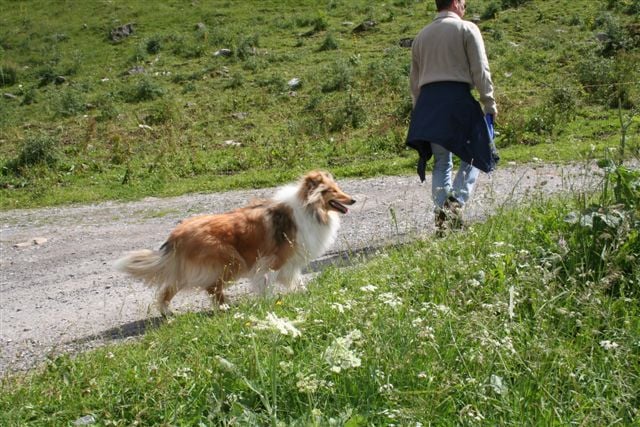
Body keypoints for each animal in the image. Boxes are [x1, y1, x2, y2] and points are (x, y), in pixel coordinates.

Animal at [115, 170, 356, 314]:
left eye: (338, 188)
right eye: (332, 191)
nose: (353, 200)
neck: (309, 208)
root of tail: (176, 235)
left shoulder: (289, 264)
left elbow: (296, 281)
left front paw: (305, 294)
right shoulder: (272, 260)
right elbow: (267, 282)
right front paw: (269, 302)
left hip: (191, 268)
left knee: (171, 287)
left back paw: (168, 313)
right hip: (231, 261)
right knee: (211, 288)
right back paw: (226, 307)